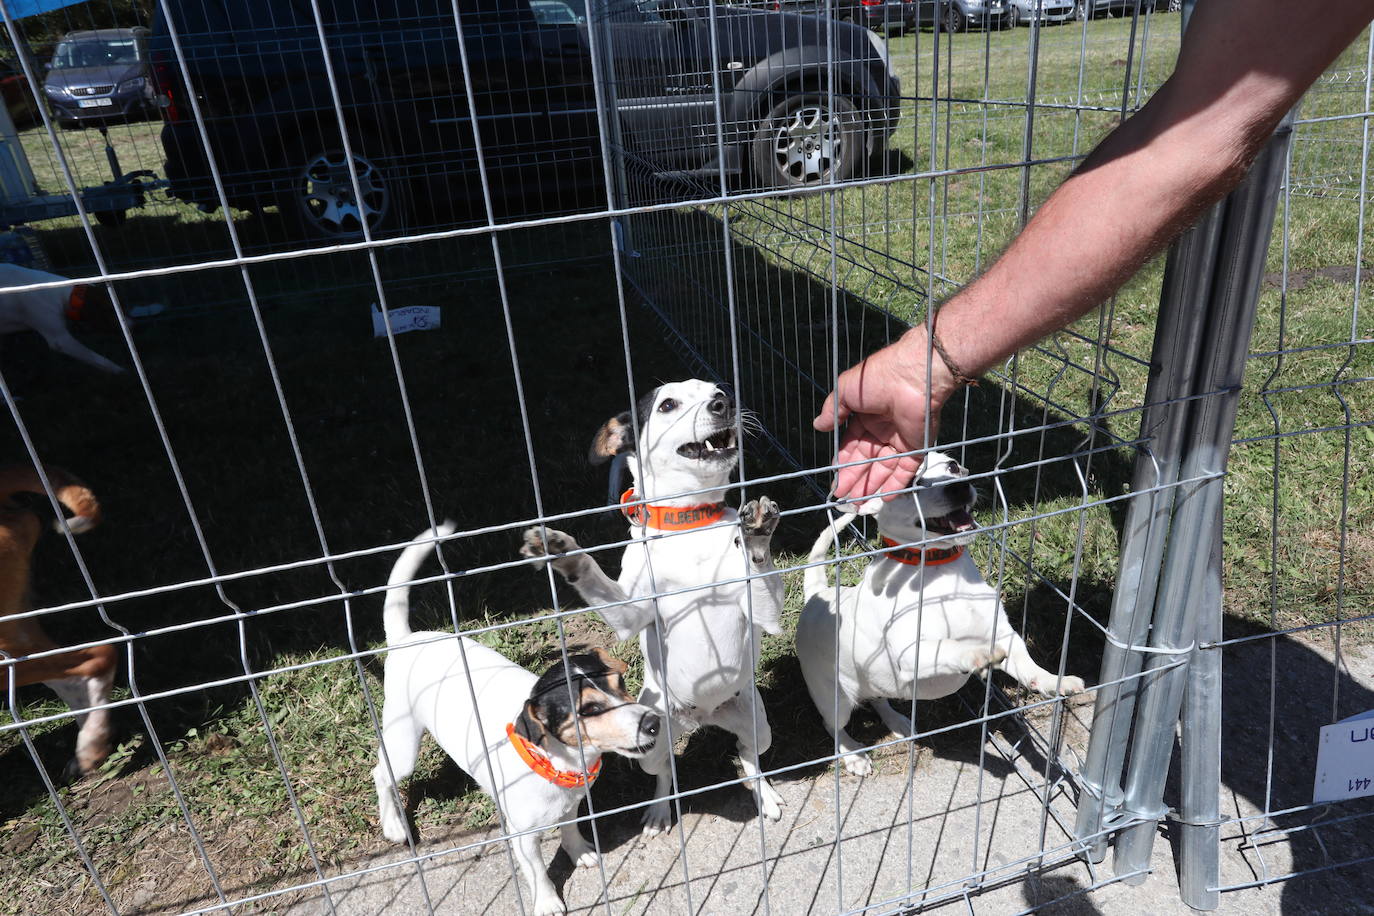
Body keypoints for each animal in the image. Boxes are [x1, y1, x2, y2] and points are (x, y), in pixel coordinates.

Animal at [370, 527, 659, 911]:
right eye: (590, 710)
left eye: (621, 684)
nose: (653, 722)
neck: (561, 763)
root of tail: (406, 639)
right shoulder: (522, 836)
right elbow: (537, 873)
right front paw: (547, 902)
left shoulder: (571, 806)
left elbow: (570, 830)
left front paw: (578, 851)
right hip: (403, 743)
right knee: (382, 774)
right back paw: (393, 824)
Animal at [519, 379, 791, 840]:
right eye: (667, 405)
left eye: (718, 389)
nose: (724, 403)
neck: (691, 526)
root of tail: (702, 719)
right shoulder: (628, 613)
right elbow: (593, 577)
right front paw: (565, 553)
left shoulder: (766, 616)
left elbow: (758, 569)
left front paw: (755, 534)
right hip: (648, 743)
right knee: (665, 772)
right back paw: (661, 811)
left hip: (760, 724)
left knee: (748, 757)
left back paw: (766, 796)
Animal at [796, 450, 1082, 774]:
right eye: (910, 483)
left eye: (953, 466)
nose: (960, 486)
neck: (939, 569)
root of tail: (817, 595)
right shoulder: (910, 653)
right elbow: (948, 646)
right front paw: (977, 654)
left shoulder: (1004, 635)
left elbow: (1028, 666)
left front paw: (1054, 682)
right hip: (834, 697)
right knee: (833, 725)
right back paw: (853, 753)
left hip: (871, 679)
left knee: (878, 699)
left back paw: (897, 721)